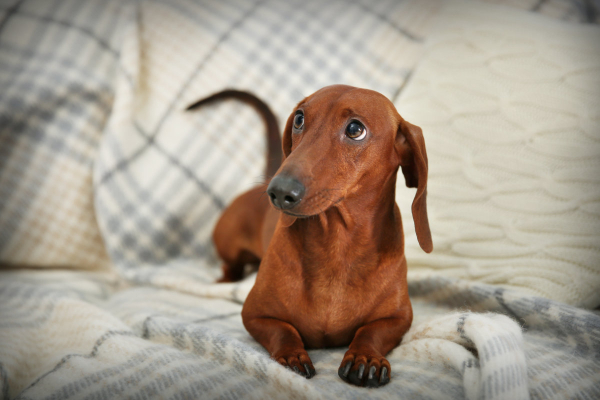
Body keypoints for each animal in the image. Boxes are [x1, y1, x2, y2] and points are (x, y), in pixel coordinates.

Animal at [188, 86, 432, 388]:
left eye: (355, 129)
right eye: (299, 119)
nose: (278, 191)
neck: (337, 247)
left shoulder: (398, 318)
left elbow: (370, 332)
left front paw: (366, 357)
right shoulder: (254, 315)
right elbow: (283, 331)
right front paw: (291, 355)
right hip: (229, 245)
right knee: (230, 266)